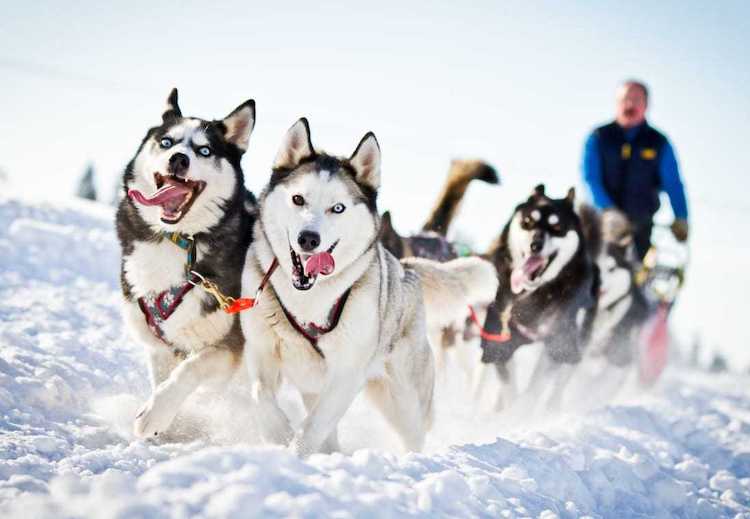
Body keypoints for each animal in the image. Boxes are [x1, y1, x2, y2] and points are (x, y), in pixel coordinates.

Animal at [116, 88, 256, 438]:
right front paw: (168, 427)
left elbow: (188, 372)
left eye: (205, 150)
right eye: (167, 142)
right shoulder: (159, 344)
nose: (179, 159)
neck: (178, 239)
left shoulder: (227, 346)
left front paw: (156, 415)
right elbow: (163, 378)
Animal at [240, 119, 497, 456]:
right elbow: (260, 396)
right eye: (298, 199)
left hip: (403, 399)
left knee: (413, 433)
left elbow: (313, 426)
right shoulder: (260, 352)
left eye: (338, 208)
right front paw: (279, 434)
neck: (308, 300)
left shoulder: (345, 374)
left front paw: (294, 452)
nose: (308, 239)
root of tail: (405, 267)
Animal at [476, 185, 599, 411]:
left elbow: (533, 390)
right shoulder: (498, 341)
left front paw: (523, 410)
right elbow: (509, 386)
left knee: (558, 387)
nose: (535, 245)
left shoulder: (558, 342)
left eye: (557, 226)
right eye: (527, 222)